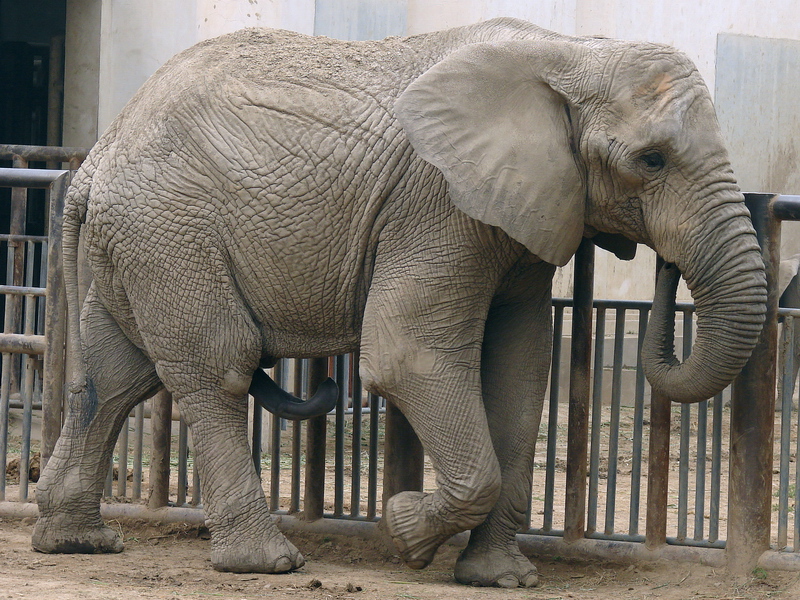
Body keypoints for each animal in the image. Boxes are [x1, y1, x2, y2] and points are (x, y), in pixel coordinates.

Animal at [32, 17, 767, 587]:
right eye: (651, 161)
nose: (664, 262)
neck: (570, 51)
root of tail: (95, 159)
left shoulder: (521, 212)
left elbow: (521, 368)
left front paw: (501, 578)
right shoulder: (438, 204)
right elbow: (406, 354)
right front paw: (406, 532)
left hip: (138, 241)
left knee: (116, 374)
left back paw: (75, 541)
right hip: (171, 232)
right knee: (217, 367)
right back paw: (267, 563)